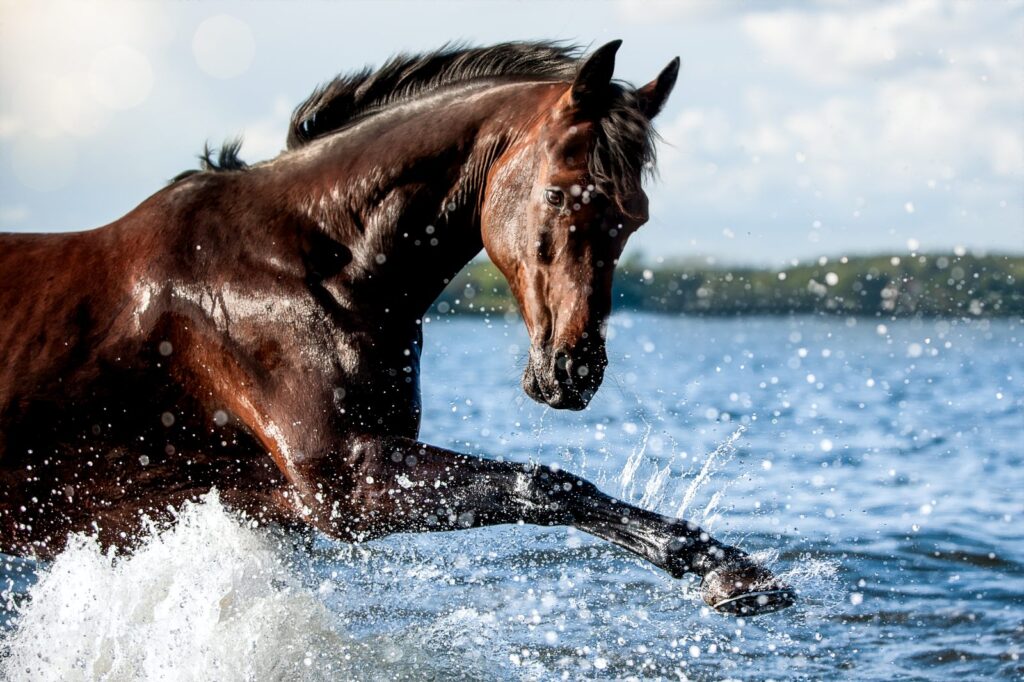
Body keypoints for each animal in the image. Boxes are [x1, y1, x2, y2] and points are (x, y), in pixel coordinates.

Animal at [0, 43, 794, 614]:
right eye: (559, 194)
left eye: (636, 216)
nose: (574, 373)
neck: (307, 263)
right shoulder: (346, 487)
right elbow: (549, 484)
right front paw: (734, 576)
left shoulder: (268, 497)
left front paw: (732, 570)